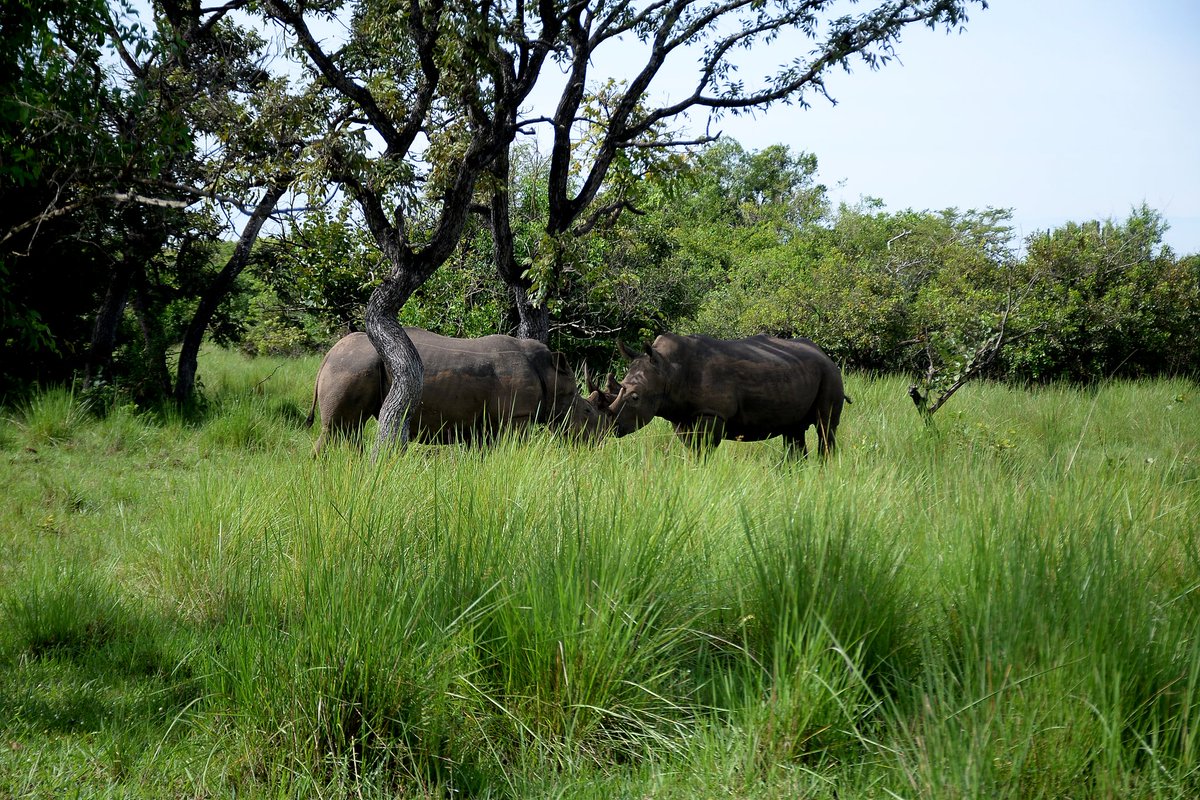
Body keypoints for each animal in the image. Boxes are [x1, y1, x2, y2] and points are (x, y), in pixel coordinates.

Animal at [306, 329, 612, 454]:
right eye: (587, 411)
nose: (598, 442)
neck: (550, 373)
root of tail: (329, 354)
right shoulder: (518, 416)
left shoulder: (485, 424)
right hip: (352, 365)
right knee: (335, 429)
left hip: (354, 363)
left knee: (350, 429)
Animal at [608, 333, 847, 457]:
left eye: (635, 397)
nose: (611, 427)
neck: (667, 369)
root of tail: (824, 354)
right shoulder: (681, 416)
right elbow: (692, 448)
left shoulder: (712, 413)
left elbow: (704, 450)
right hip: (799, 373)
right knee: (794, 430)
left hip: (831, 374)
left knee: (825, 427)